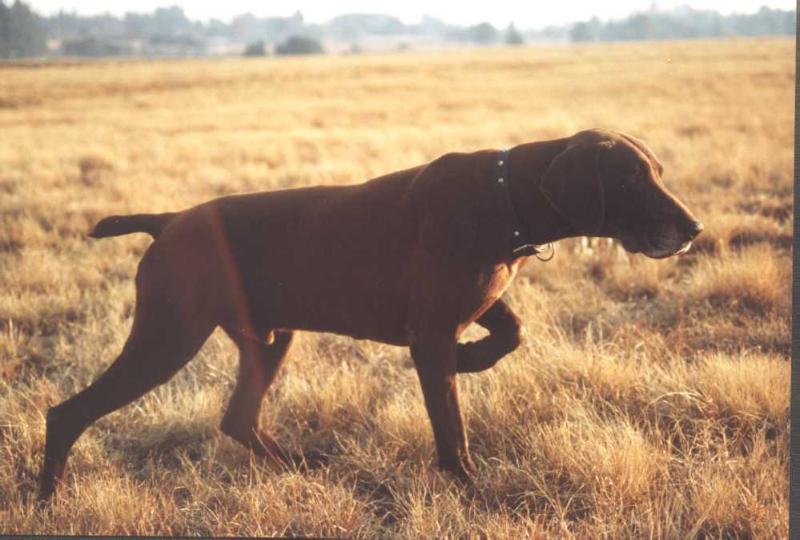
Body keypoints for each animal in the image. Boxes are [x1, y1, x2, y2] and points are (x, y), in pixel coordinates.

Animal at [37, 129, 700, 500]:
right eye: (633, 180)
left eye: (660, 173)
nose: (694, 229)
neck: (504, 196)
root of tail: (170, 220)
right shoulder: (429, 334)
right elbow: (451, 431)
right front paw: (473, 491)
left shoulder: (469, 307)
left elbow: (512, 331)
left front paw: (473, 358)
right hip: (167, 338)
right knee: (67, 414)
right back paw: (49, 500)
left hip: (269, 338)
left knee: (239, 419)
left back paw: (300, 470)